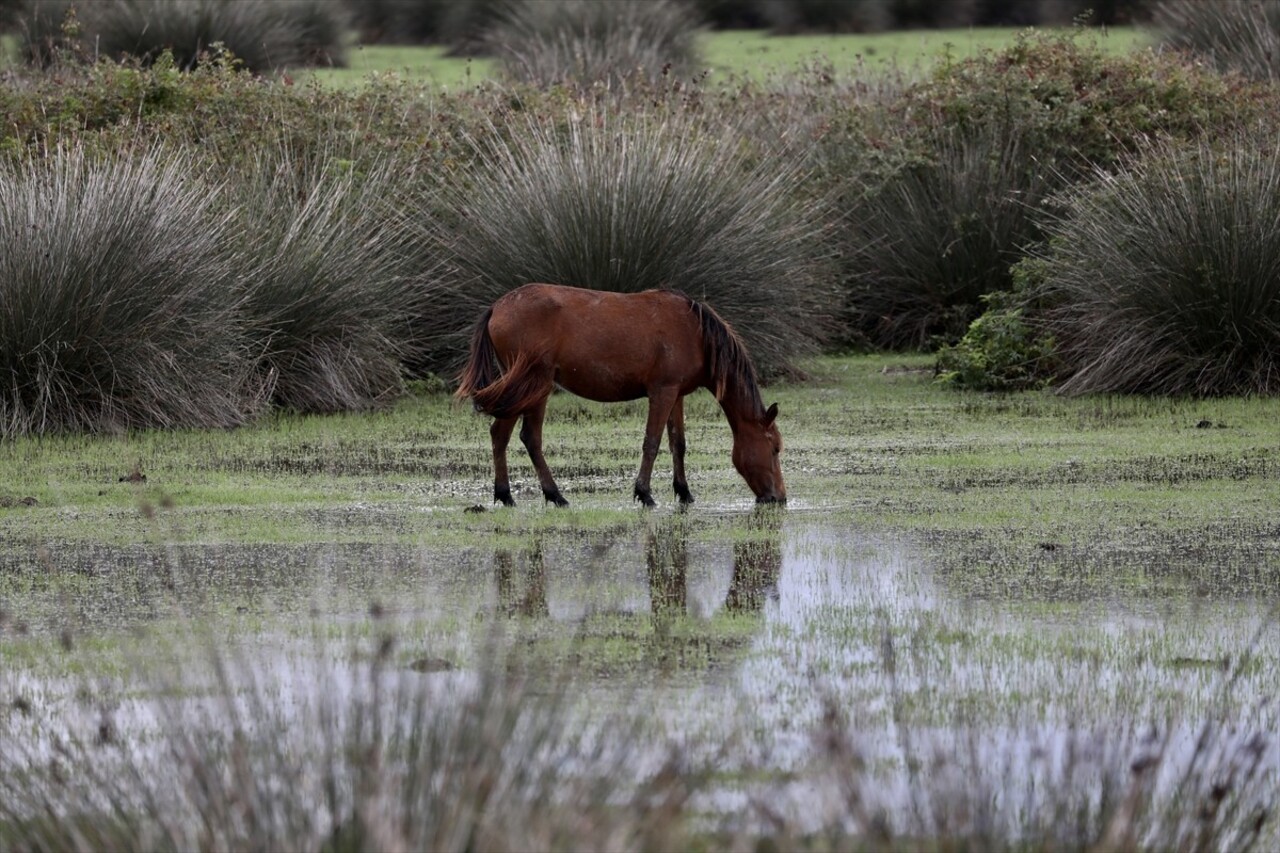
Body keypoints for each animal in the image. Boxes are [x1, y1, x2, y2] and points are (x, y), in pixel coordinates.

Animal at [455, 281, 783, 504]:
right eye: (775, 448)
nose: (779, 497)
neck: (696, 332)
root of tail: (497, 307)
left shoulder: (676, 394)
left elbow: (678, 443)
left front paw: (684, 491)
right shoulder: (662, 392)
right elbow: (652, 442)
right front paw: (644, 493)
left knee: (506, 436)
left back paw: (513, 494)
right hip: (534, 385)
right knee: (523, 436)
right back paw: (545, 495)